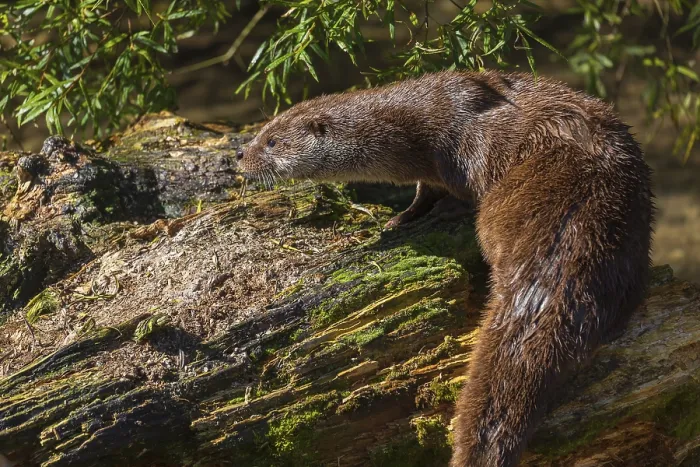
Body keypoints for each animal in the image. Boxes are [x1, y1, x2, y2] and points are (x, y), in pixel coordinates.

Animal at [236, 70, 654, 466]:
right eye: (262, 129)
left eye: (271, 141)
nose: (239, 155)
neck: (413, 125)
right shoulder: (430, 170)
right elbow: (424, 192)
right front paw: (402, 218)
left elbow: (455, 188)